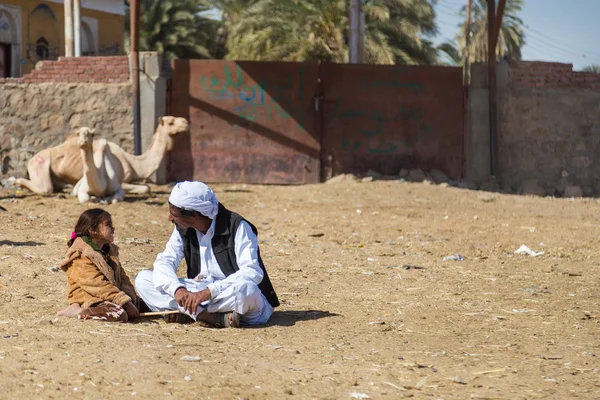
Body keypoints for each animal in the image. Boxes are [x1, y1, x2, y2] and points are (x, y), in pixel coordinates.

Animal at [15, 115, 189, 195]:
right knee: (46, 188)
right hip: (39, 165)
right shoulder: (122, 179)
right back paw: (16, 181)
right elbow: (145, 187)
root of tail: (29, 161)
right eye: (171, 122)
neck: (134, 163)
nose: (186, 122)